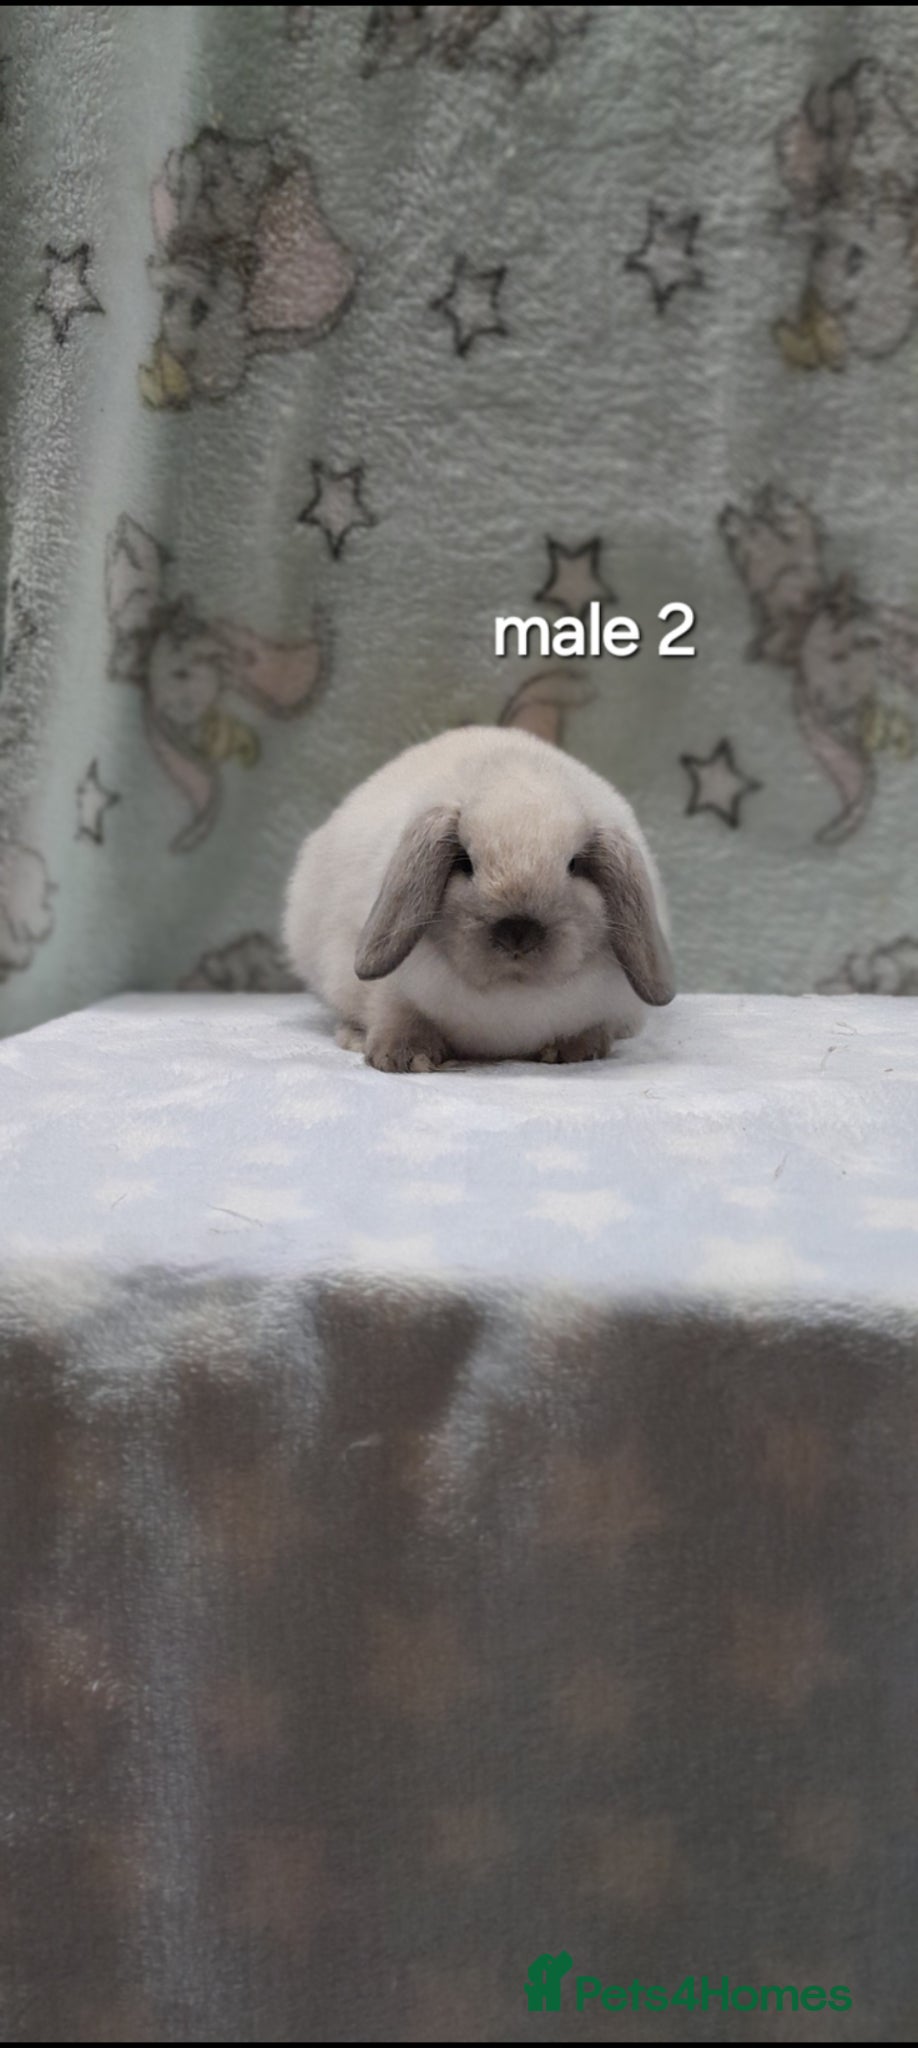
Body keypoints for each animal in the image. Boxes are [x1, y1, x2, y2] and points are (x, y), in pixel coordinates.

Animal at [283, 726, 675, 1071]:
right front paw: (404, 1057)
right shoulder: (389, 990)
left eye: (574, 864)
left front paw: (576, 1049)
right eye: (464, 862)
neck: (510, 995)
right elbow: (394, 1012)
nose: (518, 933)